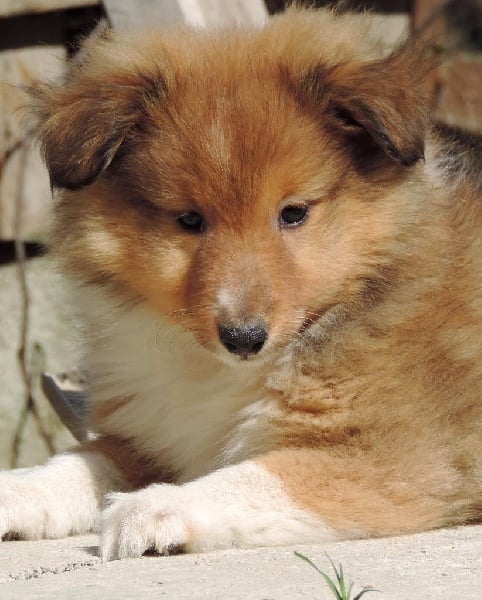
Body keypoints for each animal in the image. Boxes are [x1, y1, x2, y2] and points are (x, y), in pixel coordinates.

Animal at [0, 8, 480, 564]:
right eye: (189, 220)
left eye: (293, 213)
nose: (244, 338)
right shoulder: (155, 430)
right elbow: (80, 460)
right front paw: (17, 491)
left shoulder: (396, 459)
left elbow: (252, 476)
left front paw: (154, 508)